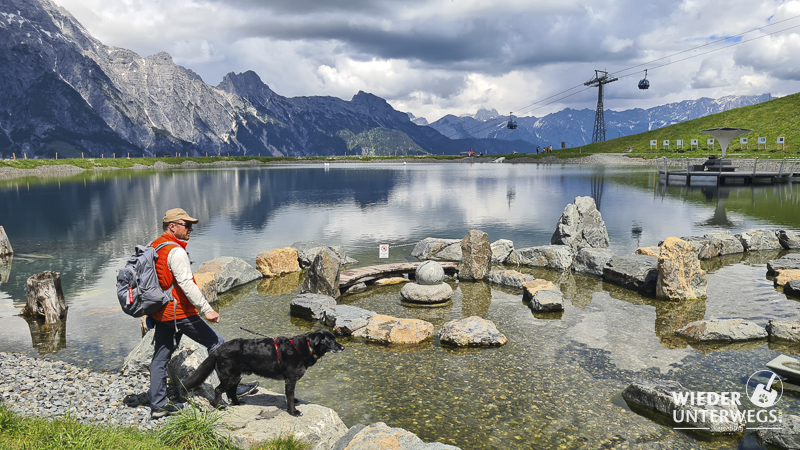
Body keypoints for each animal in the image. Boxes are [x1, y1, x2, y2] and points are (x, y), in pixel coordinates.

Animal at [181, 328, 344, 416]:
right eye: (331, 341)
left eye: (335, 339)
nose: (343, 348)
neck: (304, 347)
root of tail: (220, 349)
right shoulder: (290, 380)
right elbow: (290, 398)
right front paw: (293, 412)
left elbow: (291, 396)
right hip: (230, 376)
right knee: (218, 389)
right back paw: (220, 406)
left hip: (237, 376)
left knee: (231, 391)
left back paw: (237, 403)